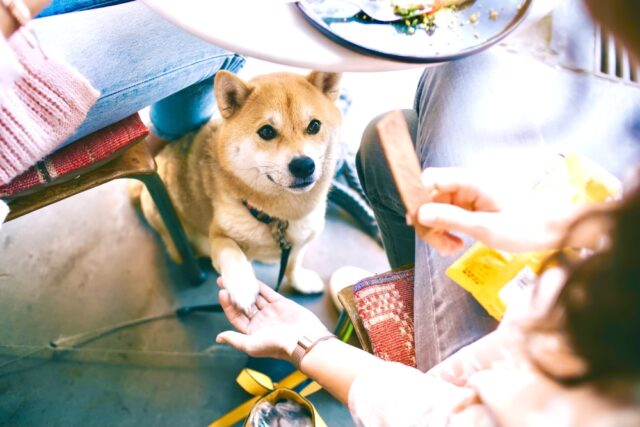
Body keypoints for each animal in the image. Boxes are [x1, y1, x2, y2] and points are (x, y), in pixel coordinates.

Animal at [135, 70, 342, 314]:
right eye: (266, 131)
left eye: (314, 126)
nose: (303, 165)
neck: (280, 217)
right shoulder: (219, 235)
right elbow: (231, 252)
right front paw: (242, 286)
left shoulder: (301, 241)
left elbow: (293, 263)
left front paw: (300, 281)